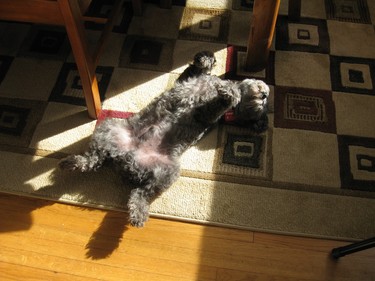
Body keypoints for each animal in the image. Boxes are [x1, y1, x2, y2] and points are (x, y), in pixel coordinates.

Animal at [59, 49, 270, 225]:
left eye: (261, 107)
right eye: (262, 102)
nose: (265, 94)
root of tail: (125, 158)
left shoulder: (206, 114)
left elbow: (223, 100)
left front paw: (229, 92)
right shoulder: (189, 77)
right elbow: (196, 68)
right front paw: (207, 59)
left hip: (167, 171)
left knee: (140, 193)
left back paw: (138, 214)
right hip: (110, 127)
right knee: (93, 159)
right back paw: (72, 163)